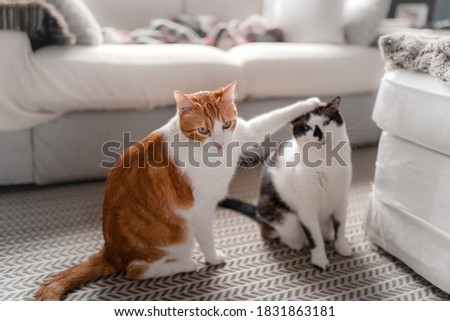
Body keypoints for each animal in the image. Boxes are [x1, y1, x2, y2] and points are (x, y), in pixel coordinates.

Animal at [36, 81, 320, 298]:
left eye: (226, 125)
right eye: (204, 129)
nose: (220, 144)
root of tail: (110, 251)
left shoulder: (243, 133)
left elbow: (271, 119)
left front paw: (309, 103)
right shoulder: (200, 209)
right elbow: (207, 239)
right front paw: (213, 259)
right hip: (178, 237)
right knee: (136, 270)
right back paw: (185, 264)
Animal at [221, 97, 352, 270]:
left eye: (326, 122)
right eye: (306, 127)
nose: (319, 134)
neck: (327, 160)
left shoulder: (342, 200)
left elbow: (340, 226)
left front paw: (342, 247)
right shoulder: (307, 208)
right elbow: (314, 236)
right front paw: (320, 259)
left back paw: (328, 236)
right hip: (283, 216)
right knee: (271, 232)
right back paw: (295, 243)